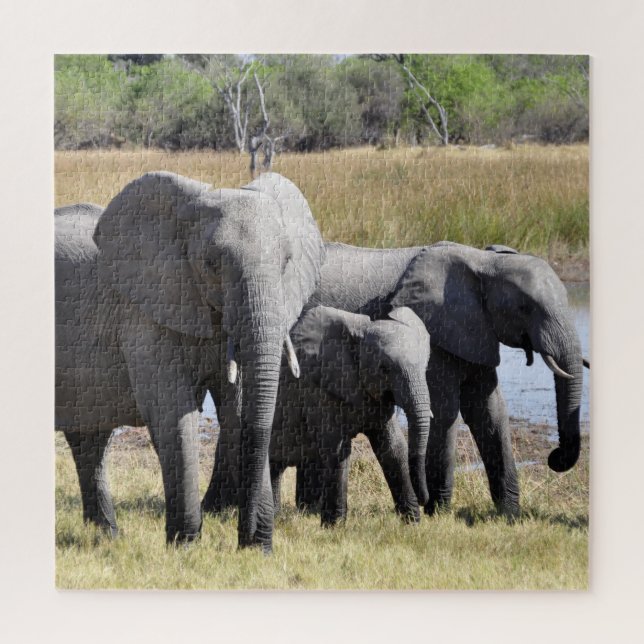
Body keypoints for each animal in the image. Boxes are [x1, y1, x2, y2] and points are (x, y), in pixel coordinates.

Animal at [55, 171, 325, 551]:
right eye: (211, 265)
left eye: (287, 262)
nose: (248, 540)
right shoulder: (145, 312)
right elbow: (173, 413)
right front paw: (184, 546)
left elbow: (238, 410)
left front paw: (255, 549)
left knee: (89, 440)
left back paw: (106, 535)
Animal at [269, 305, 432, 526]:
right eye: (384, 368)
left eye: (425, 367)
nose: (425, 500)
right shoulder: (318, 388)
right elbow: (337, 450)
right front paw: (334, 527)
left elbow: (393, 447)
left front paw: (412, 523)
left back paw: (274, 515)